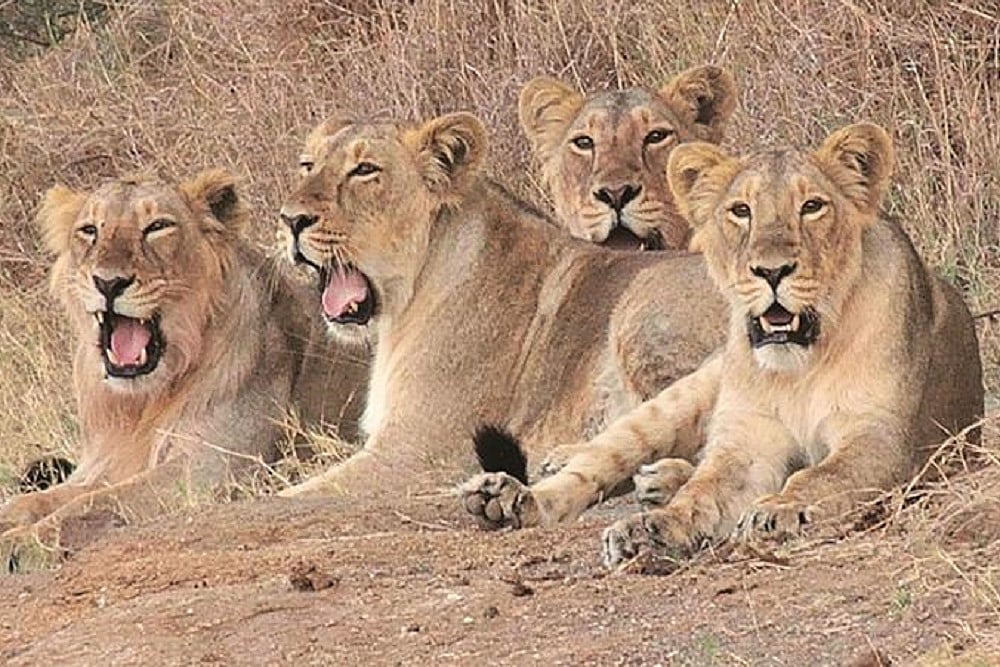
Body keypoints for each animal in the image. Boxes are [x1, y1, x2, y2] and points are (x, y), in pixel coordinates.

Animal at [0, 170, 366, 560]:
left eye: (158, 226)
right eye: (89, 230)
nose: (108, 282)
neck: (142, 402)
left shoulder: (212, 466)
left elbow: (93, 502)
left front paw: (19, 543)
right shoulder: (103, 465)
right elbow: (35, 500)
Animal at [274, 111, 728, 497]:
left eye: (365, 170)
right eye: (307, 166)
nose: (290, 220)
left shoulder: (418, 452)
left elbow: (292, 496)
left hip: (641, 303)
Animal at [460, 122, 983, 566]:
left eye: (812, 206)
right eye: (741, 211)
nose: (772, 271)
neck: (801, 363)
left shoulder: (881, 436)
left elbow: (821, 475)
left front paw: (779, 512)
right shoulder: (747, 438)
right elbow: (703, 492)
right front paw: (651, 530)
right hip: (676, 400)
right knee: (595, 464)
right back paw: (508, 498)